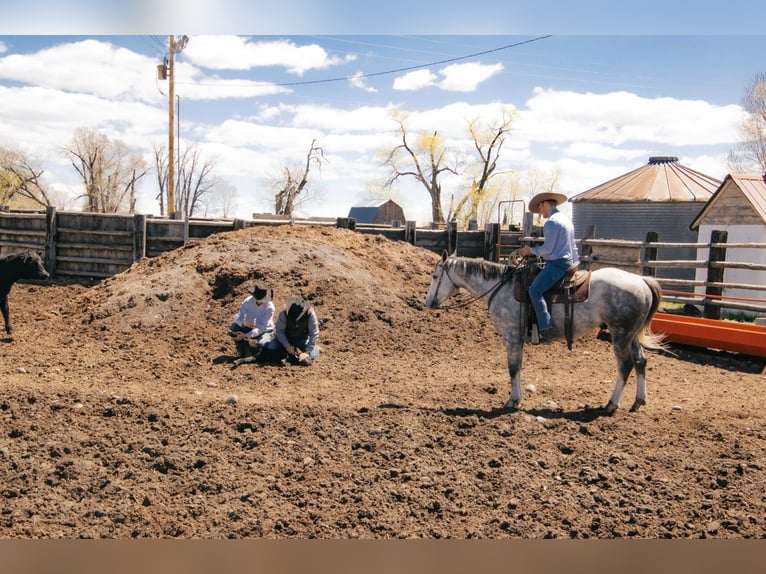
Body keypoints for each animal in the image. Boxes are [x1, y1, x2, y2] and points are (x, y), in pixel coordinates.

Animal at [426, 254, 664, 416]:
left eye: (435, 276)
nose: (428, 302)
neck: (500, 287)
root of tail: (642, 281)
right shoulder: (517, 338)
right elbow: (518, 367)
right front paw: (517, 399)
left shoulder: (511, 335)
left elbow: (513, 368)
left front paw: (512, 401)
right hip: (632, 335)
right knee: (641, 361)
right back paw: (638, 402)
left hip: (620, 333)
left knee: (625, 366)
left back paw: (611, 404)